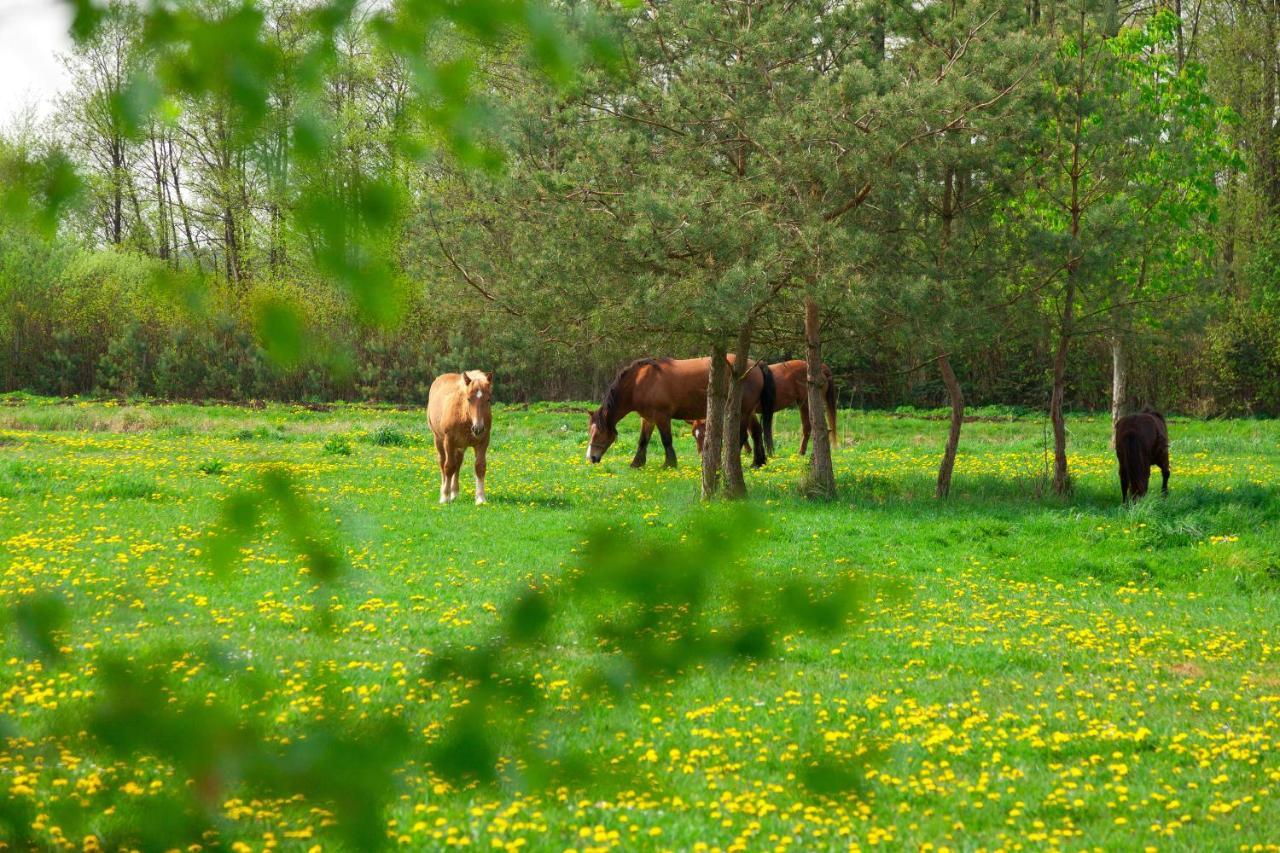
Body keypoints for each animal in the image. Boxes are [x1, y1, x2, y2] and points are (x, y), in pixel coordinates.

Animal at [427, 368, 491, 502]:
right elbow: (448, 467)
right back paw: (445, 491)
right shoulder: (449, 441)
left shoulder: (483, 441)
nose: (478, 429)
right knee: (443, 462)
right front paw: (444, 497)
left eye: (488, 399)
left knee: (458, 464)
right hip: (439, 440)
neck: (464, 415)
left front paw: (480, 498)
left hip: (461, 446)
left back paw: (454, 493)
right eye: (469, 399)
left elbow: (480, 467)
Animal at [586, 356, 773, 468]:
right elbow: (643, 441)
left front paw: (669, 464)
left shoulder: (662, 416)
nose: (591, 458)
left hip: (742, 412)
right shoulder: (648, 419)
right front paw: (637, 464)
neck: (640, 382)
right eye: (590, 432)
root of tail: (756, 365)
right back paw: (758, 462)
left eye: (600, 433)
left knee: (741, 437)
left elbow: (666, 441)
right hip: (749, 412)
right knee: (756, 432)